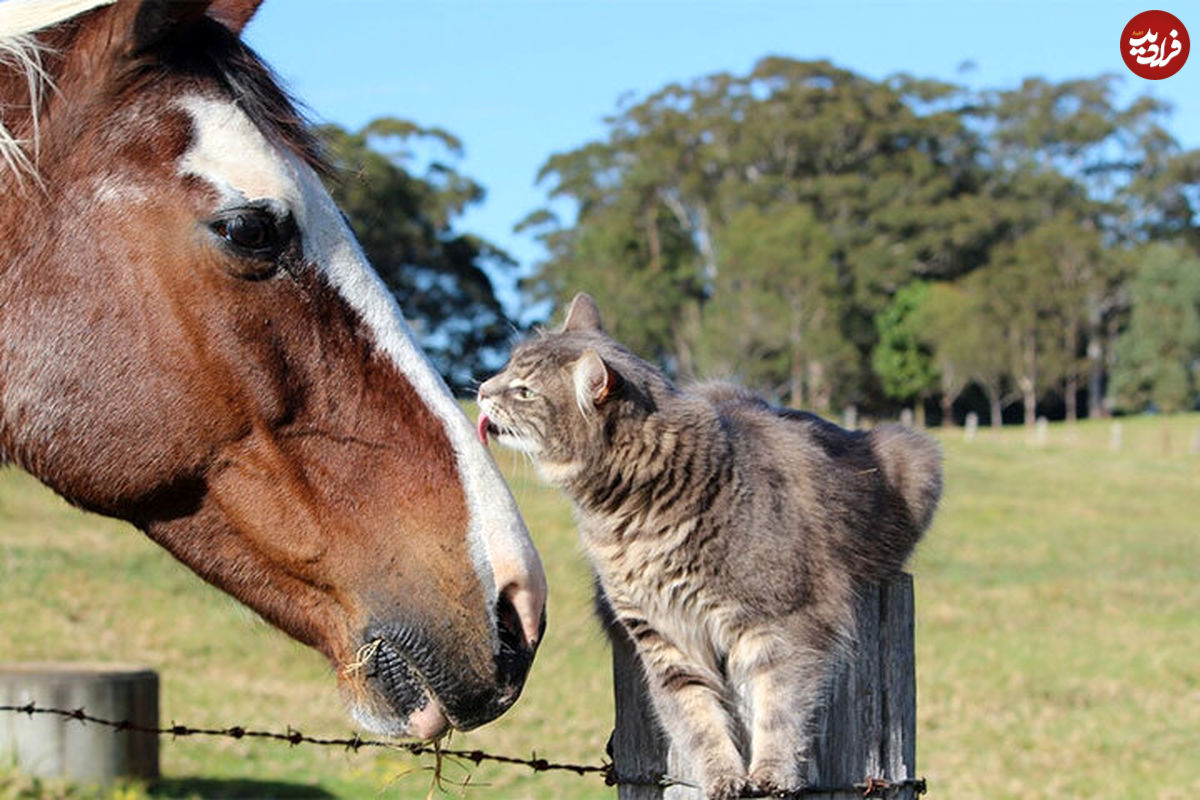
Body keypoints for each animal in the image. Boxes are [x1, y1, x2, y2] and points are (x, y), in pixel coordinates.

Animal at [475, 293, 936, 800]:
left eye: (524, 391)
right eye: (507, 370)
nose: (480, 388)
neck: (629, 518)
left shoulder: (787, 623)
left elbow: (779, 708)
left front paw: (771, 773)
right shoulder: (662, 637)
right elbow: (695, 719)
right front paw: (722, 776)